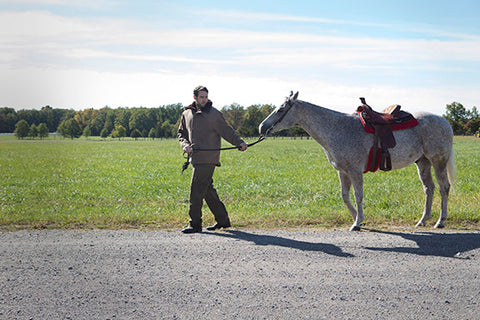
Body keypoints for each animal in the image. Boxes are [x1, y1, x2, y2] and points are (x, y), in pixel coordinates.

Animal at [260, 91, 456, 231]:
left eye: (280, 109)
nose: (262, 127)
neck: (338, 128)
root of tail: (444, 121)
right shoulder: (342, 171)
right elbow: (345, 196)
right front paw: (357, 218)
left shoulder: (355, 172)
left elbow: (358, 195)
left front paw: (357, 222)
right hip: (423, 162)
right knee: (429, 189)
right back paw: (423, 220)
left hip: (438, 161)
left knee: (443, 188)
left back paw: (440, 221)